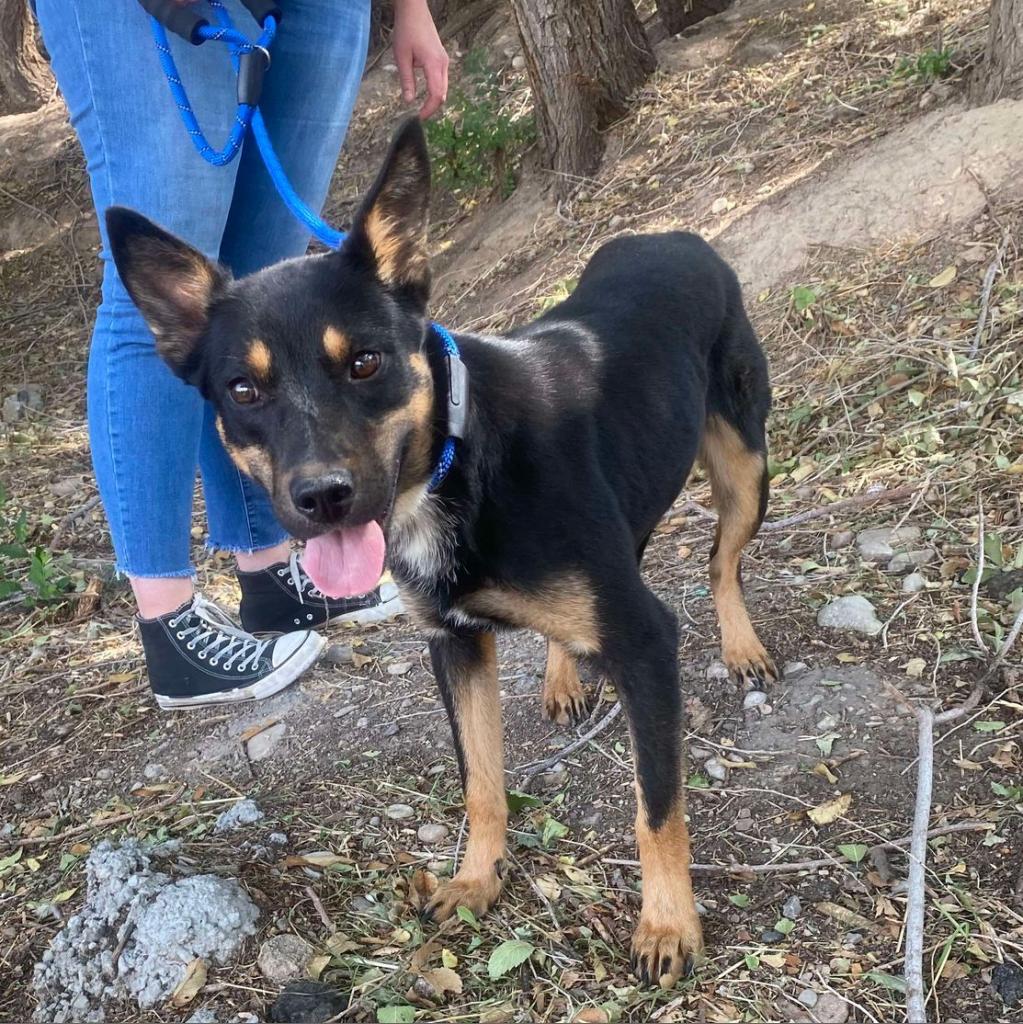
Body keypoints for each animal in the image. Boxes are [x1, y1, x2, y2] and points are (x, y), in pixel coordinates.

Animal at [108, 116, 778, 987]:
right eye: (242, 391)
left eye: (364, 362)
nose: (321, 498)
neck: (457, 464)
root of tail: (674, 235)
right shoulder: (454, 646)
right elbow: (480, 783)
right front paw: (475, 879)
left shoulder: (643, 639)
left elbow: (656, 808)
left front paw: (667, 924)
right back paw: (566, 675)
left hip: (745, 466)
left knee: (721, 561)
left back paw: (740, 644)